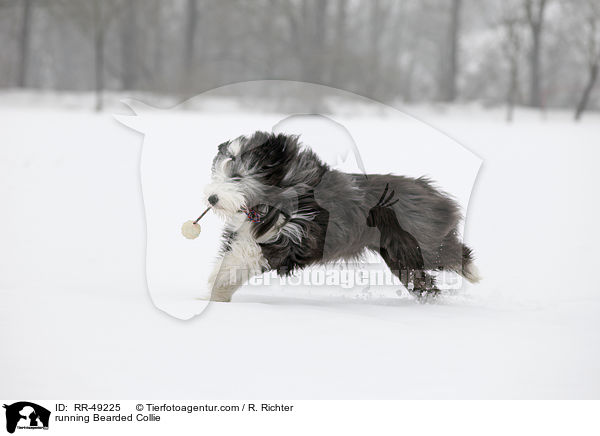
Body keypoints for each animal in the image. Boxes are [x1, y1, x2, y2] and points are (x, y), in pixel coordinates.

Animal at [203, 133, 478, 302]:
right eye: (218, 173)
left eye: (237, 177)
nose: (212, 199)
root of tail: (430, 191)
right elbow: (235, 256)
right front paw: (216, 293)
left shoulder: (295, 237)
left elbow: (251, 254)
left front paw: (217, 285)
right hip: (400, 255)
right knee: (421, 280)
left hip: (420, 243)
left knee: (451, 254)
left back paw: (472, 273)